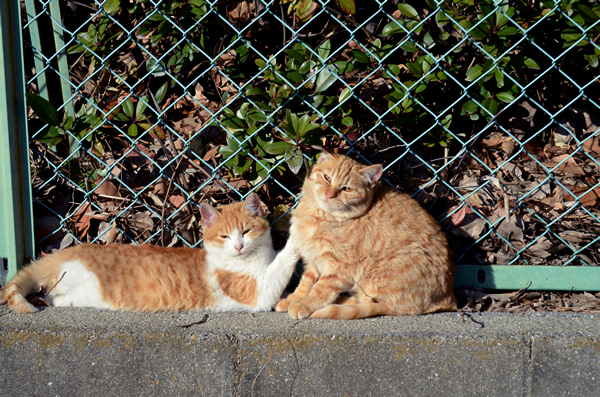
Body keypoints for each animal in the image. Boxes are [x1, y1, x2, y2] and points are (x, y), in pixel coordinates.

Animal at [0, 194, 300, 312]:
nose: (238, 246)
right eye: (225, 236)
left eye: (246, 232)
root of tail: (66, 252)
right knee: (53, 294)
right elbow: (281, 266)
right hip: (83, 288)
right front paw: (298, 236)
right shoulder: (258, 294)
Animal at [276, 151, 454, 318]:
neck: (319, 215)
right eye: (327, 178)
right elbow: (305, 283)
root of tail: (449, 299)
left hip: (373, 276)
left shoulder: (340, 267)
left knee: (370, 303)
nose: (329, 195)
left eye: (346, 189)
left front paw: (304, 304)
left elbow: (320, 288)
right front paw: (294, 299)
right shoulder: (313, 261)